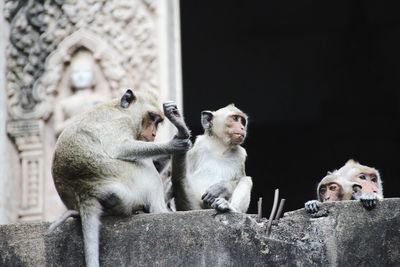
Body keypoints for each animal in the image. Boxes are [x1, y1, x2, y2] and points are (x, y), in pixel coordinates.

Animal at [49, 89, 191, 267]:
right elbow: (120, 148)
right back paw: (160, 211)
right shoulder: (120, 122)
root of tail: (85, 192)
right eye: (151, 117)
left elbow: (156, 163)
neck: (121, 109)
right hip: (128, 181)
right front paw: (175, 142)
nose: (153, 134)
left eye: (157, 122)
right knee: (145, 166)